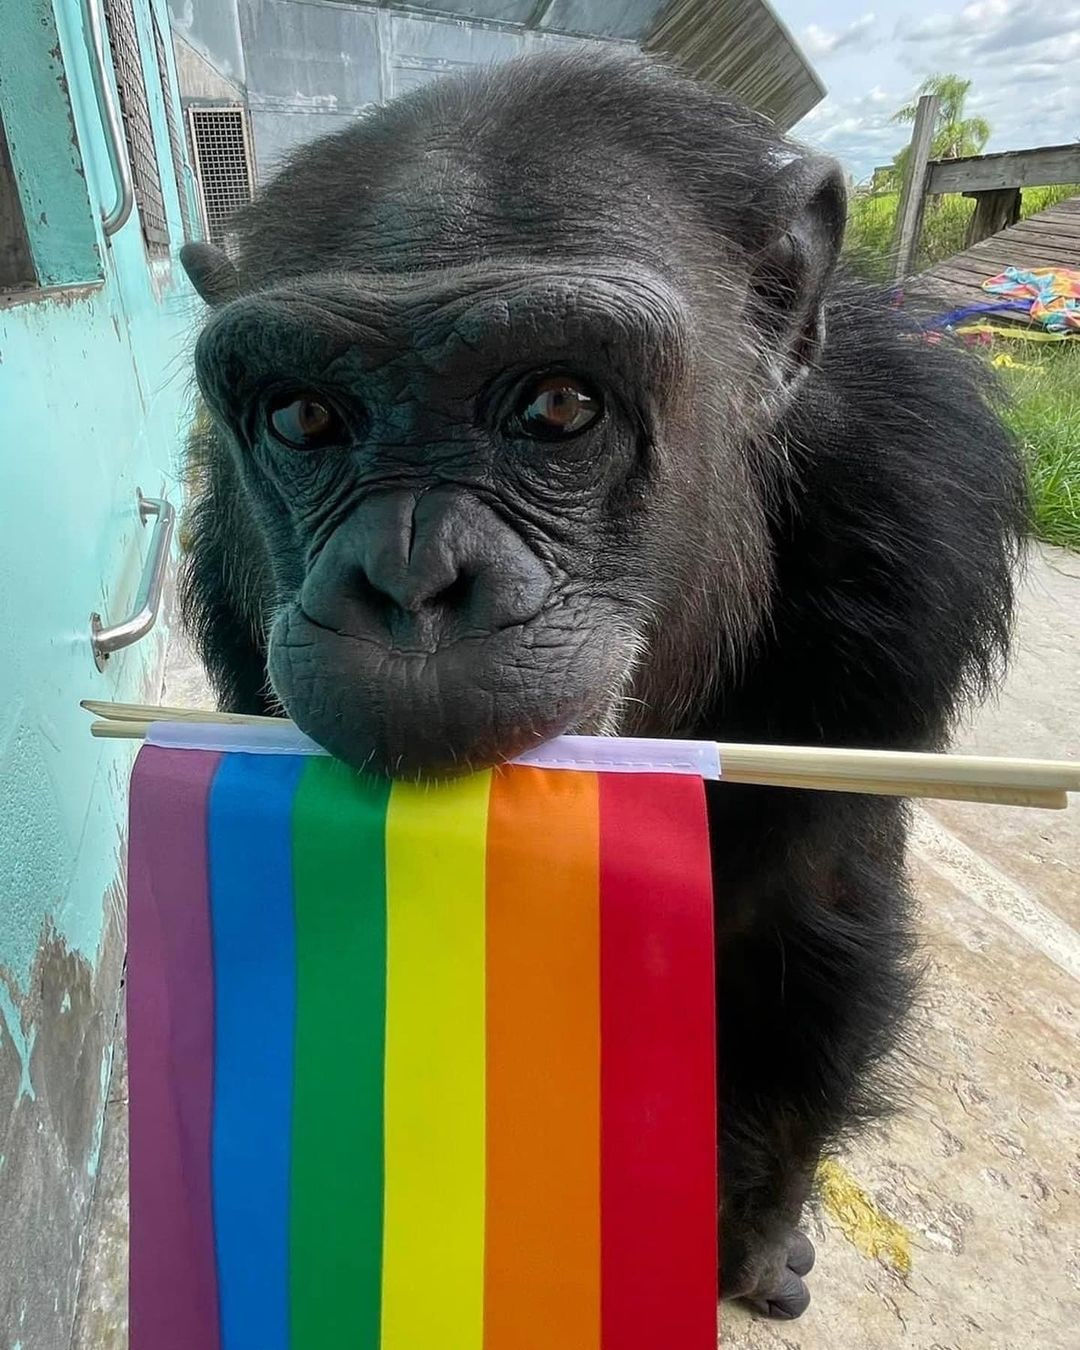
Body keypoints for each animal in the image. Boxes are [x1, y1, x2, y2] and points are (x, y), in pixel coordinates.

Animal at [177, 51, 1025, 1319]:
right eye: (304, 416)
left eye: (560, 405)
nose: (412, 576)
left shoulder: (913, 539)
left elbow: (800, 926)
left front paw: (756, 1231)